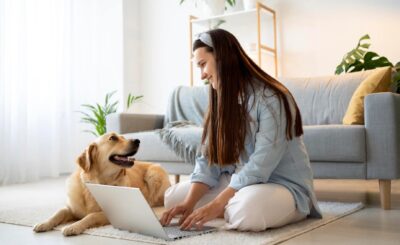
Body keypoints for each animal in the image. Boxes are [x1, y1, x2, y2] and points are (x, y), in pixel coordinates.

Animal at [32, 132, 170, 235]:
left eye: (123, 137)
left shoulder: (111, 212)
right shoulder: (71, 207)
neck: (97, 183)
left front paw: (73, 226)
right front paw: (44, 223)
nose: (137, 140)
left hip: (154, 173)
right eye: (113, 138)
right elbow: (59, 212)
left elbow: (91, 216)